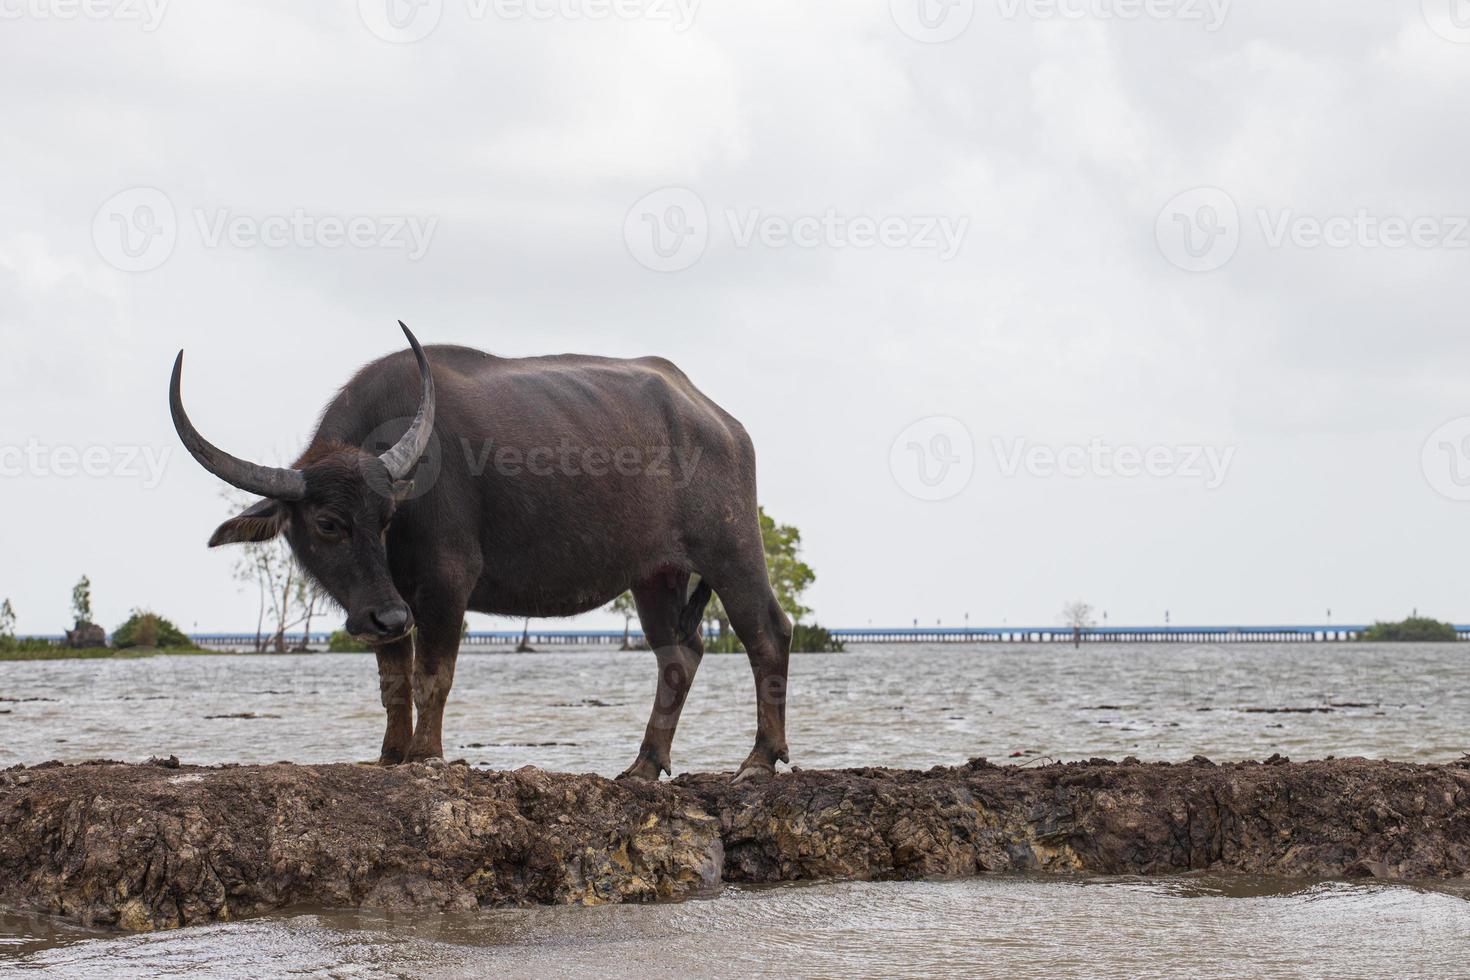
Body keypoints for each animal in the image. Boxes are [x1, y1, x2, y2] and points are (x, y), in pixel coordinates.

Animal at [169, 323, 793, 781]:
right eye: (328, 523)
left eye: (386, 517)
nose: (387, 615)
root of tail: (721, 422)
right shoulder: (388, 600)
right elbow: (394, 682)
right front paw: (390, 755)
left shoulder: (445, 583)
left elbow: (433, 674)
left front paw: (425, 755)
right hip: (655, 574)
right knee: (678, 656)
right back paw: (643, 766)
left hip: (732, 547)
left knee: (768, 632)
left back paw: (759, 760)